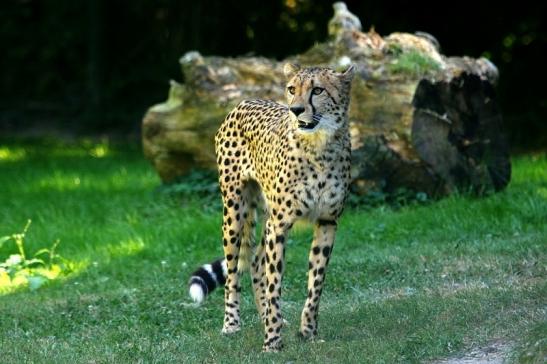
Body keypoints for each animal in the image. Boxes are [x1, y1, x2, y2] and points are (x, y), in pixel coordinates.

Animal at [187, 63, 356, 352]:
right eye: (292, 89)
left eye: (318, 90)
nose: (296, 109)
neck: (320, 146)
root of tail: (244, 101)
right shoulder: (280, 224)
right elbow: (275, 282)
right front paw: (272, 342)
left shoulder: (327, 222)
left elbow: (316, 282)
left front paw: (308, 332)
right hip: (235, 212)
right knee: (234, 271)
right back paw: (232, 324)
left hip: (265, 215)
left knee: (255, 261)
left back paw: (265, 315)